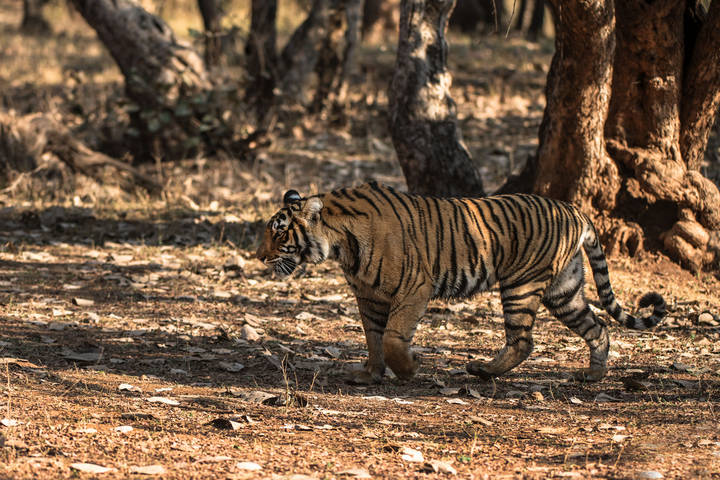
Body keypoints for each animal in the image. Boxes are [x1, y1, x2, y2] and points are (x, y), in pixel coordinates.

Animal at [255, 182, 666, 385]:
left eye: (279, 233)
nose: (259, 256)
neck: (342, 245)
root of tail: (575, 210)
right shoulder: (369, 297)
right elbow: (373, 338)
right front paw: (370, 375)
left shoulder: (413, 288)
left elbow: (392, 338)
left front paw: (409, 369)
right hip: (563, 291)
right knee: (598, 328)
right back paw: (593, 375)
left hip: (521, 285)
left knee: (523, 340)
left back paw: (483, 371)